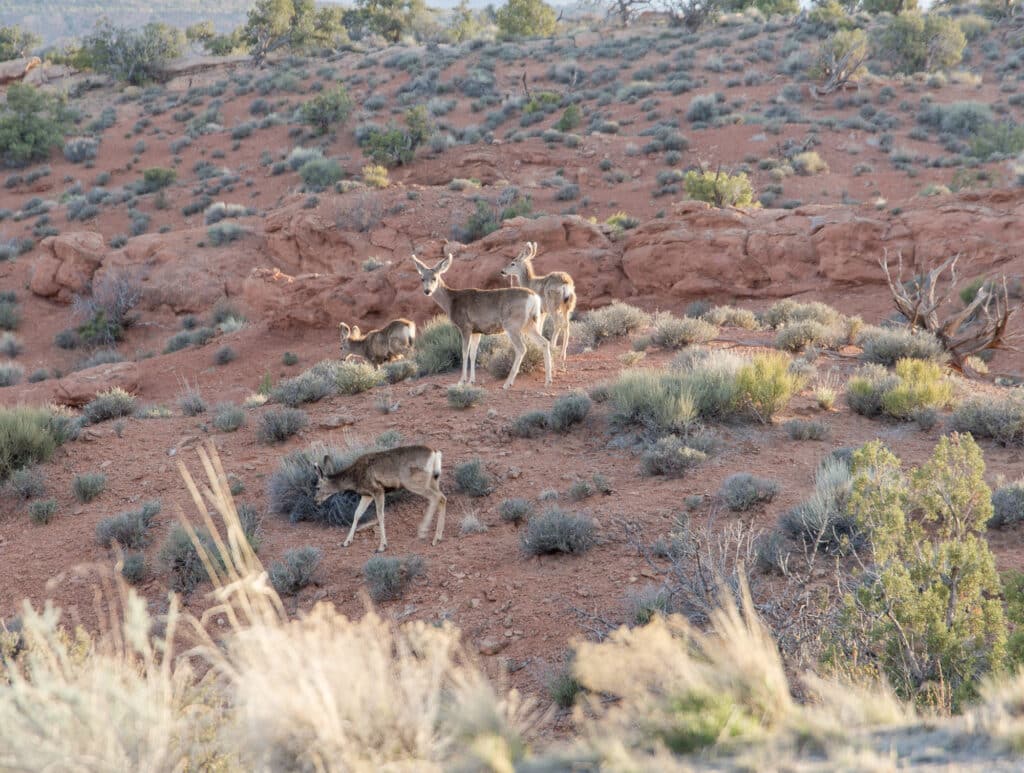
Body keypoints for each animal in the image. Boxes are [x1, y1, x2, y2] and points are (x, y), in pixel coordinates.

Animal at [313, 444, 446, 552]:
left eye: (317, 487)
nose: (315, 501)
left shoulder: (377, 490)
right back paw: (437, 537)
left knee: (436, 497)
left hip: (413, 481)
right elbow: (357, 514)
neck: (354, 478)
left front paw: (382, 546)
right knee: (442, 498)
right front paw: (346, 542)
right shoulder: (366, 494)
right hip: (433, 480)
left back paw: (424, 532)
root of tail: (435, 453)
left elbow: (380, 515)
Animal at [409, 252, 552, 389]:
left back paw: (507, 383)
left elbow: (464, 353)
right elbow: (473, 354)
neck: (451, 301)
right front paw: (471, 381)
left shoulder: (465, 326)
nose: (427, 291)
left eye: (435, 278)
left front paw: (461, 381)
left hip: (512, 324)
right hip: (529, 324)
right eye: (422, 278)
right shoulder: (476, 331)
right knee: (544, 342)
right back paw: (547, 381)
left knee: (521, 348)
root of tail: (534, 297)